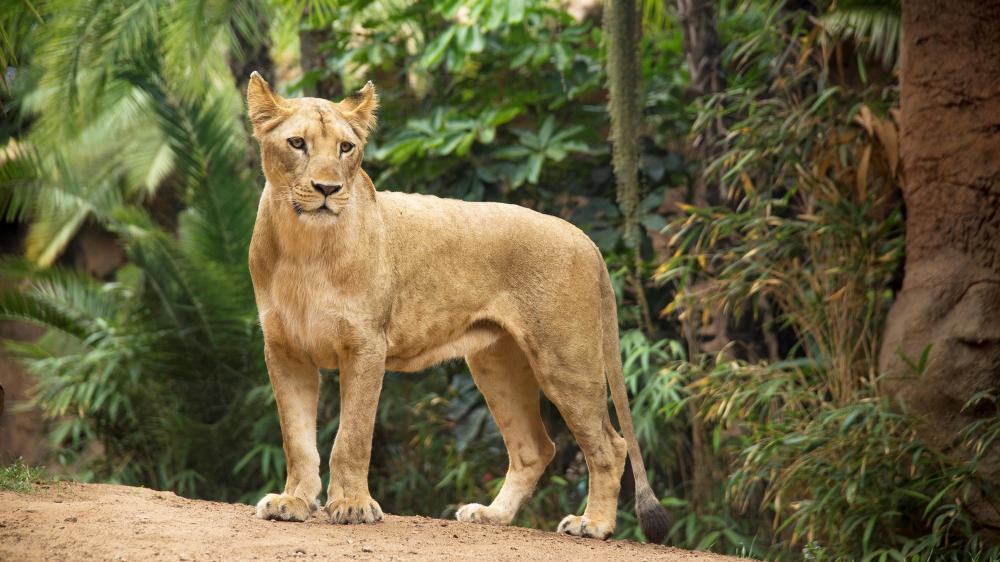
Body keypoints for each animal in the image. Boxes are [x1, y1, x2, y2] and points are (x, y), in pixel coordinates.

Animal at [245, 72, 670, 542]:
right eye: (297, 143)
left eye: (346, 147)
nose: (327, 189)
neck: (304, 247)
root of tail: (584, 237)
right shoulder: (285, 349)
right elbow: (297, 438)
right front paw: (293, 502)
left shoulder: (366, 345)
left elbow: (352, 436)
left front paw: (353, 506)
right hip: (496, 363)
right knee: (535, 447)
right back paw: (492, 515)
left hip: (565, 361)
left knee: (609, 444)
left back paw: (592, 524)